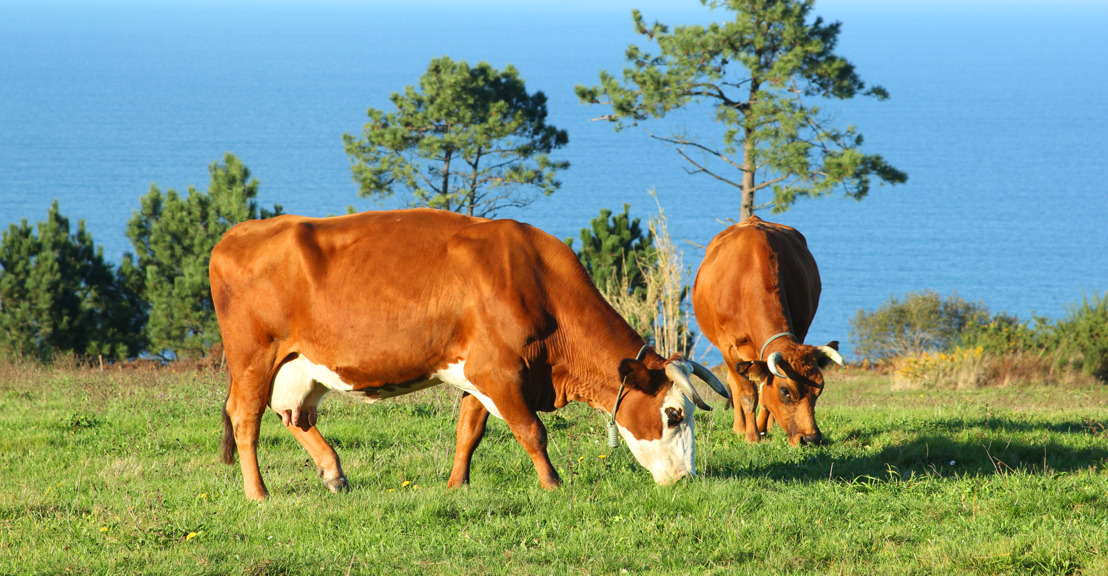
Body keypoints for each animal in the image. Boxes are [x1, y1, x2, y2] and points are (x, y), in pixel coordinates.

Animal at [208, 208, 731, 498]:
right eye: (673, 414)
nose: (687, 479)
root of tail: (237, 234)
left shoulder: (477, 376)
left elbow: (469, 433)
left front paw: (456, 485)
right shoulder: (498, 371)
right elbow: (532, 431)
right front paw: (554, 485)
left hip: (300, 365)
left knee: (294, 416)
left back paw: (334, 472)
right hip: (254, 357)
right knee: (245, 417)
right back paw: (258, 494)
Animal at [686, 216, 842, 445]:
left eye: (819, 389)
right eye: (786, 391)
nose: (811, 439)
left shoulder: (799, 333)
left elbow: (764, 392)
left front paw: (761, 428)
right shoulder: (728, 346)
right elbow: (747, 393)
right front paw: (751, 436)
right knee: (734, 383)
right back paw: (739, 427)